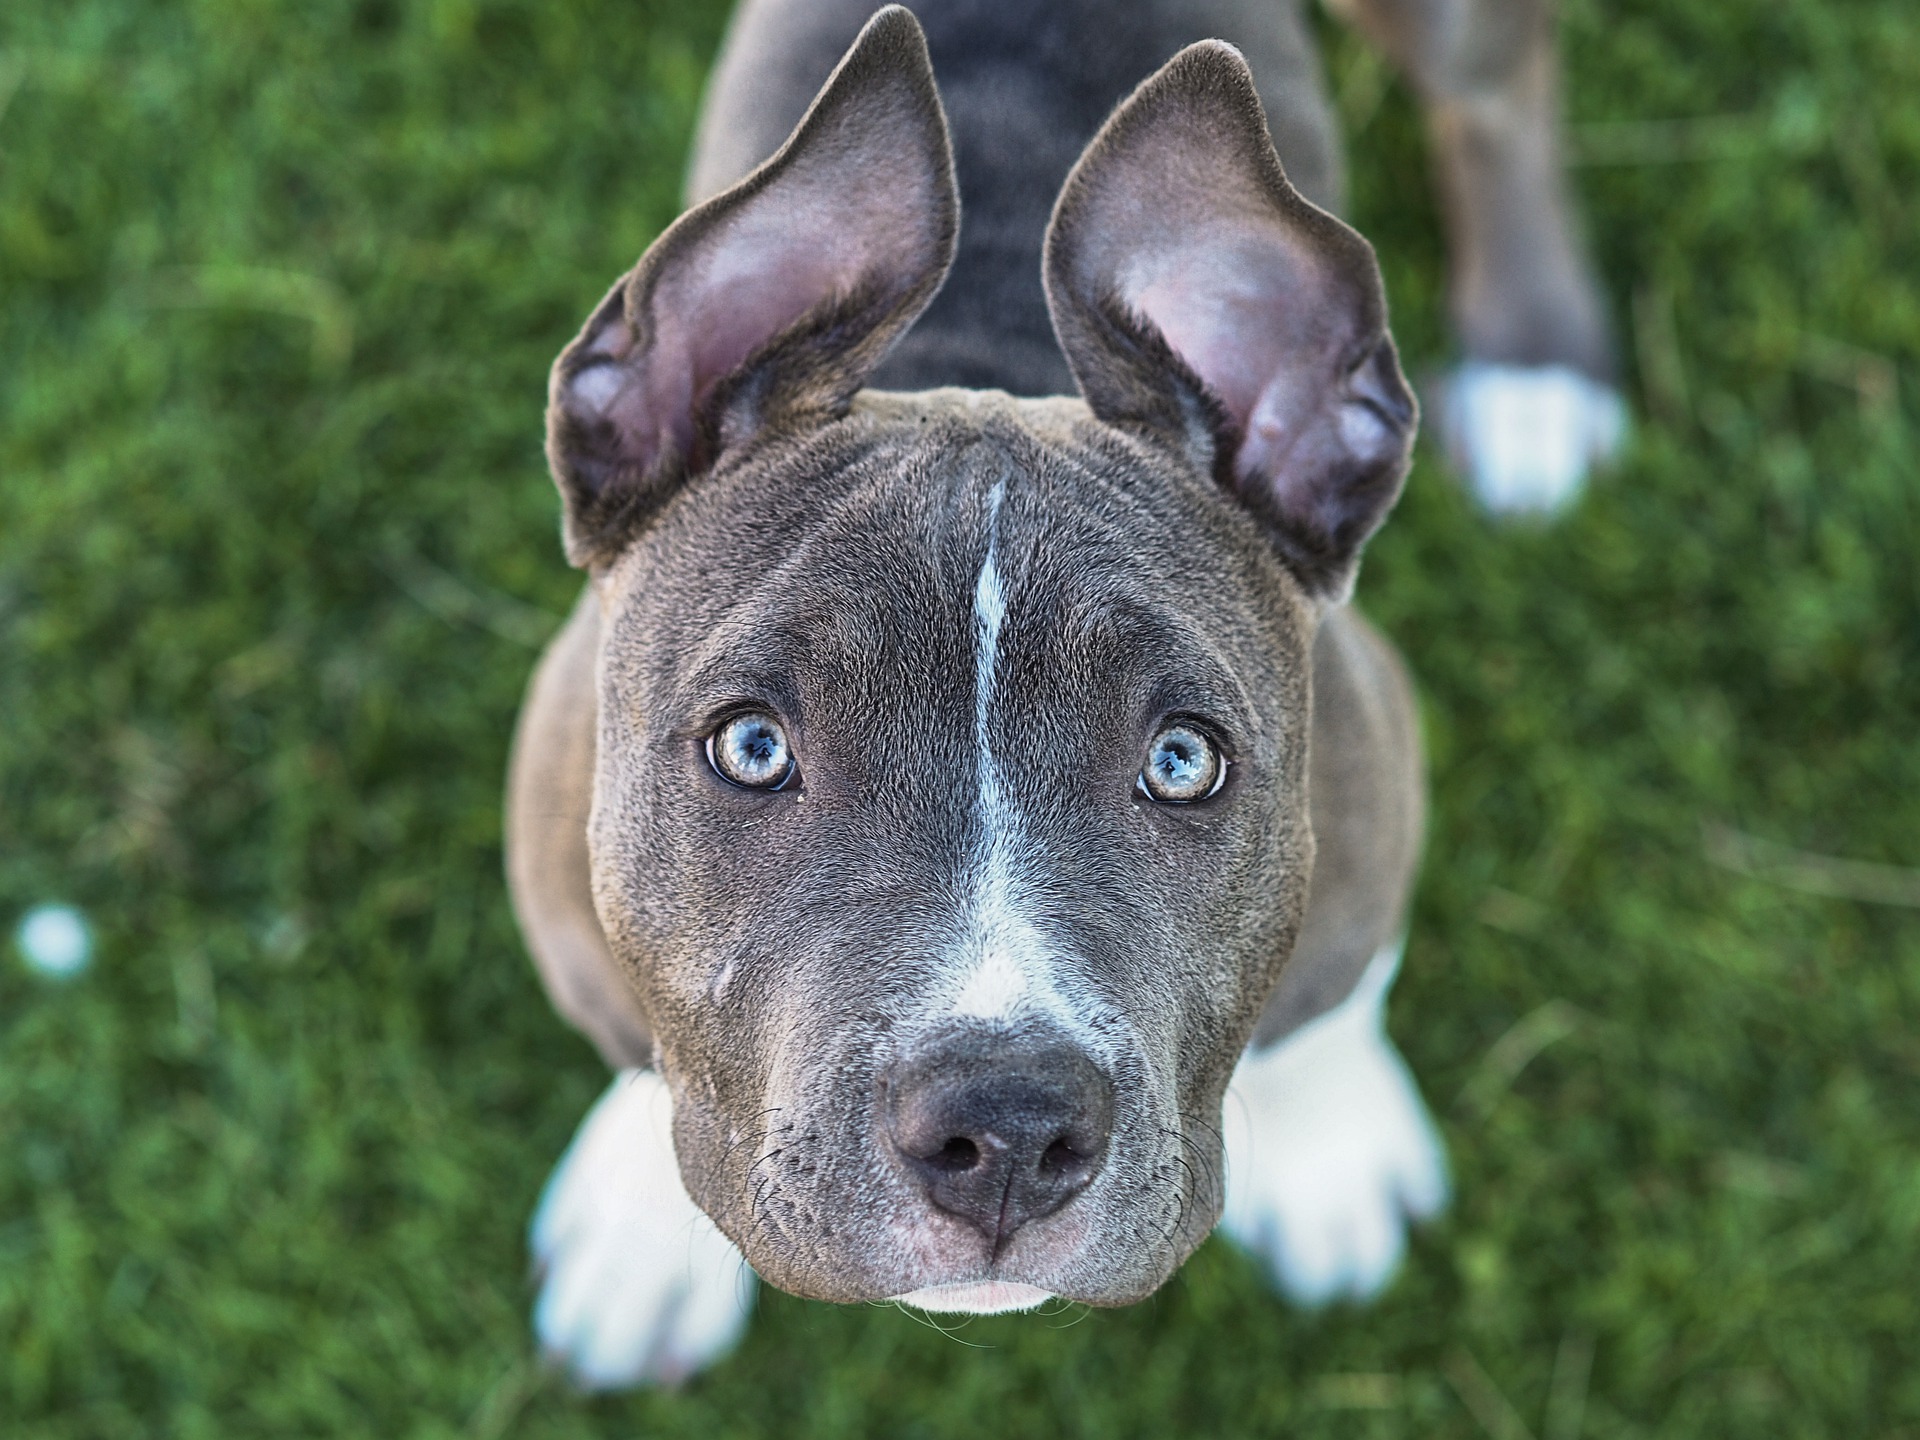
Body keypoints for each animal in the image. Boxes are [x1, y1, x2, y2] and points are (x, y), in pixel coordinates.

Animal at [503, 0, 1612, 1390]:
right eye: (751, 747)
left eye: (1183, 761)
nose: (1009, 1130)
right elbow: (633, 1047)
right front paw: (639, 1238)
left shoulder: (1373, 794)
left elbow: (1324, 1006)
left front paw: (1332, 1160)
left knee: (1498, 78)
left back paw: (1537, 377)